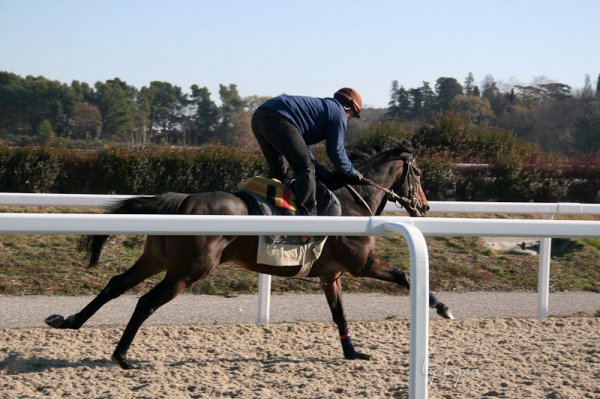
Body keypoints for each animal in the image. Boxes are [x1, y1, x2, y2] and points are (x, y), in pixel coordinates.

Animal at [44, 141, 452, 372]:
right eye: (418, 173)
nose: (425, 206)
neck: (352, 202)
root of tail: (182, 200)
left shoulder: (330, 275)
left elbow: (339, 314)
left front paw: (353, 353)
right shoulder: (361, 265)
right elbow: (406, 277)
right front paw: (442, 306)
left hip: (158, 259)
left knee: (116, 284)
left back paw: (70, 321)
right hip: (188, 271)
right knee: (145, 302)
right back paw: (122, 356)